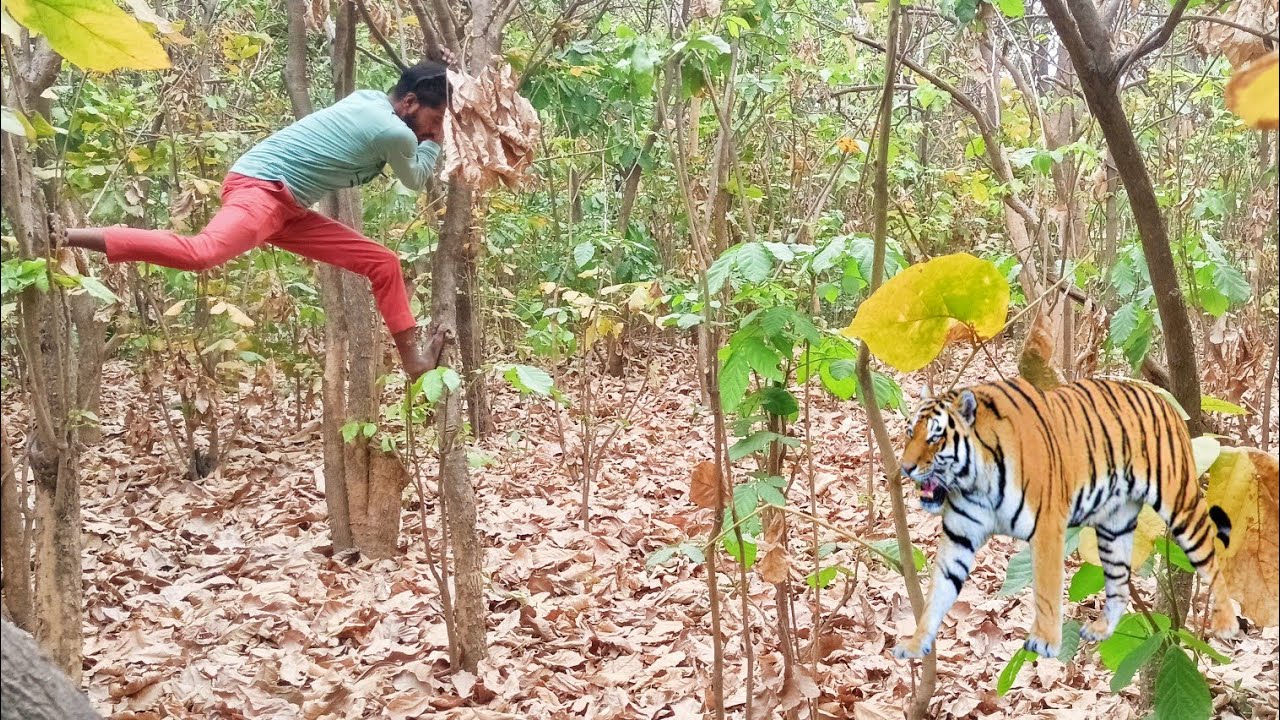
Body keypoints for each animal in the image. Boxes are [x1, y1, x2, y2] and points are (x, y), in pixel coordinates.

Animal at [891, 377, 1238, 660]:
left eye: (934, 438)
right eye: (909, 432)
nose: (905, 468)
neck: (974, 481)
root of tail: (1163, 400)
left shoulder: (1046, 529)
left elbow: (1045, 590)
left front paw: (1044, 641)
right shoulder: (959, 537)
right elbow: (937, 593)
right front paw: (915, 643)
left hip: (1180, 504)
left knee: (1211, 558)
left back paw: (1226, 624)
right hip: (1113, 530)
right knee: (1120, 585)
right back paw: (1101, 630)